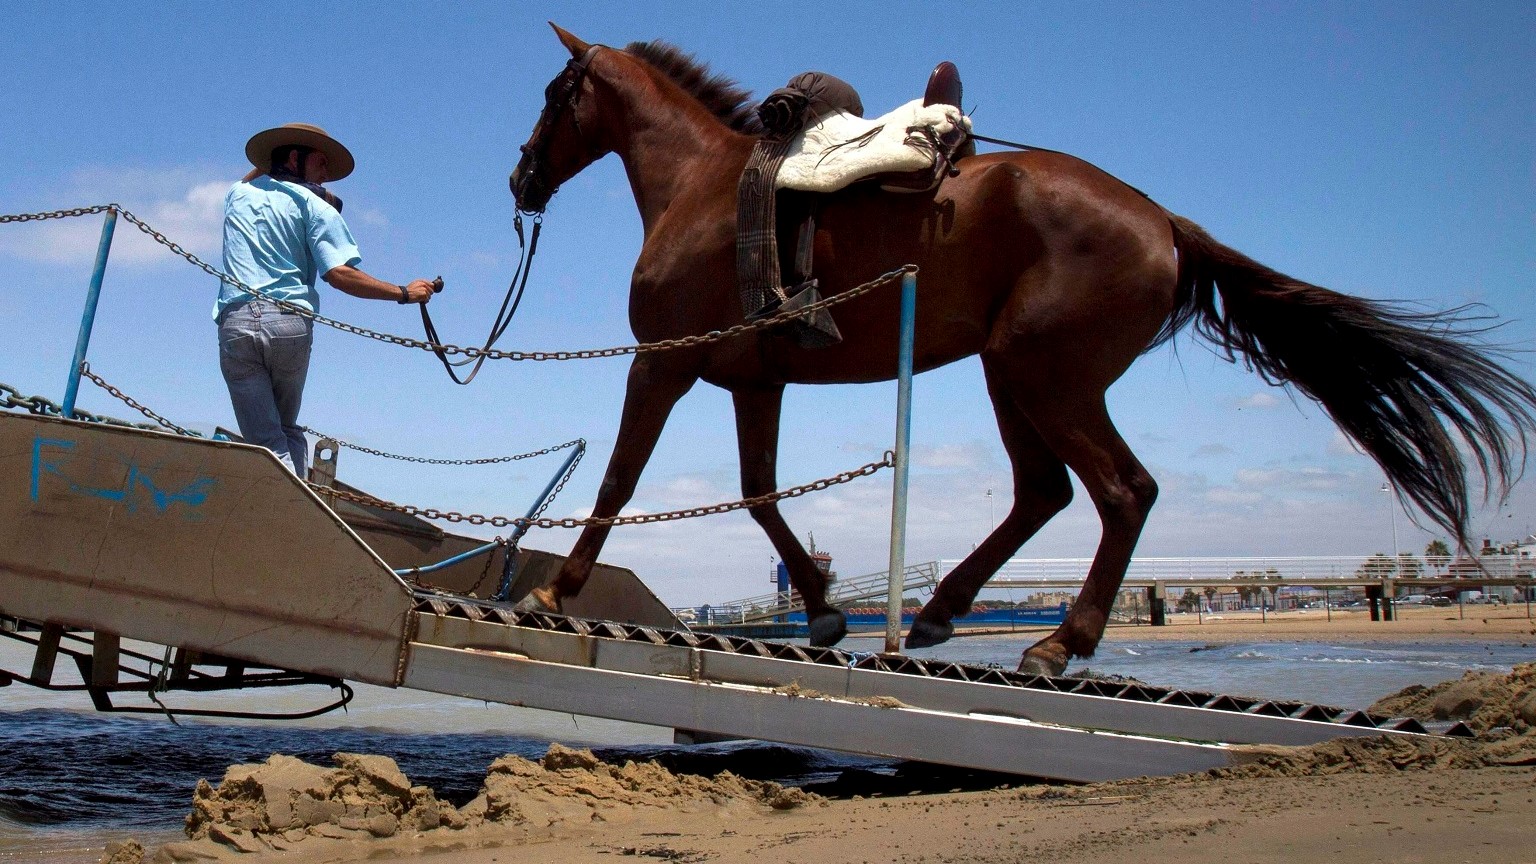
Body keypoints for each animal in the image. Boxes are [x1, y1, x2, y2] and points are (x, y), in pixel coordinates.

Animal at [508, 24, 1536, 675]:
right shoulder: (755, 383)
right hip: (1013, 373)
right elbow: (761, 495)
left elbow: (619, 481)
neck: (703, 185)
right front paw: (827, 606)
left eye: (556, 95)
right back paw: (939, 611)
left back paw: (1056, 640)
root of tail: (1162, 220)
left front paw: (556, 592)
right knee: (1046, 492)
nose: (520, 177)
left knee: (1122, 492)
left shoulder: (663, 362)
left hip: (1044, 375)